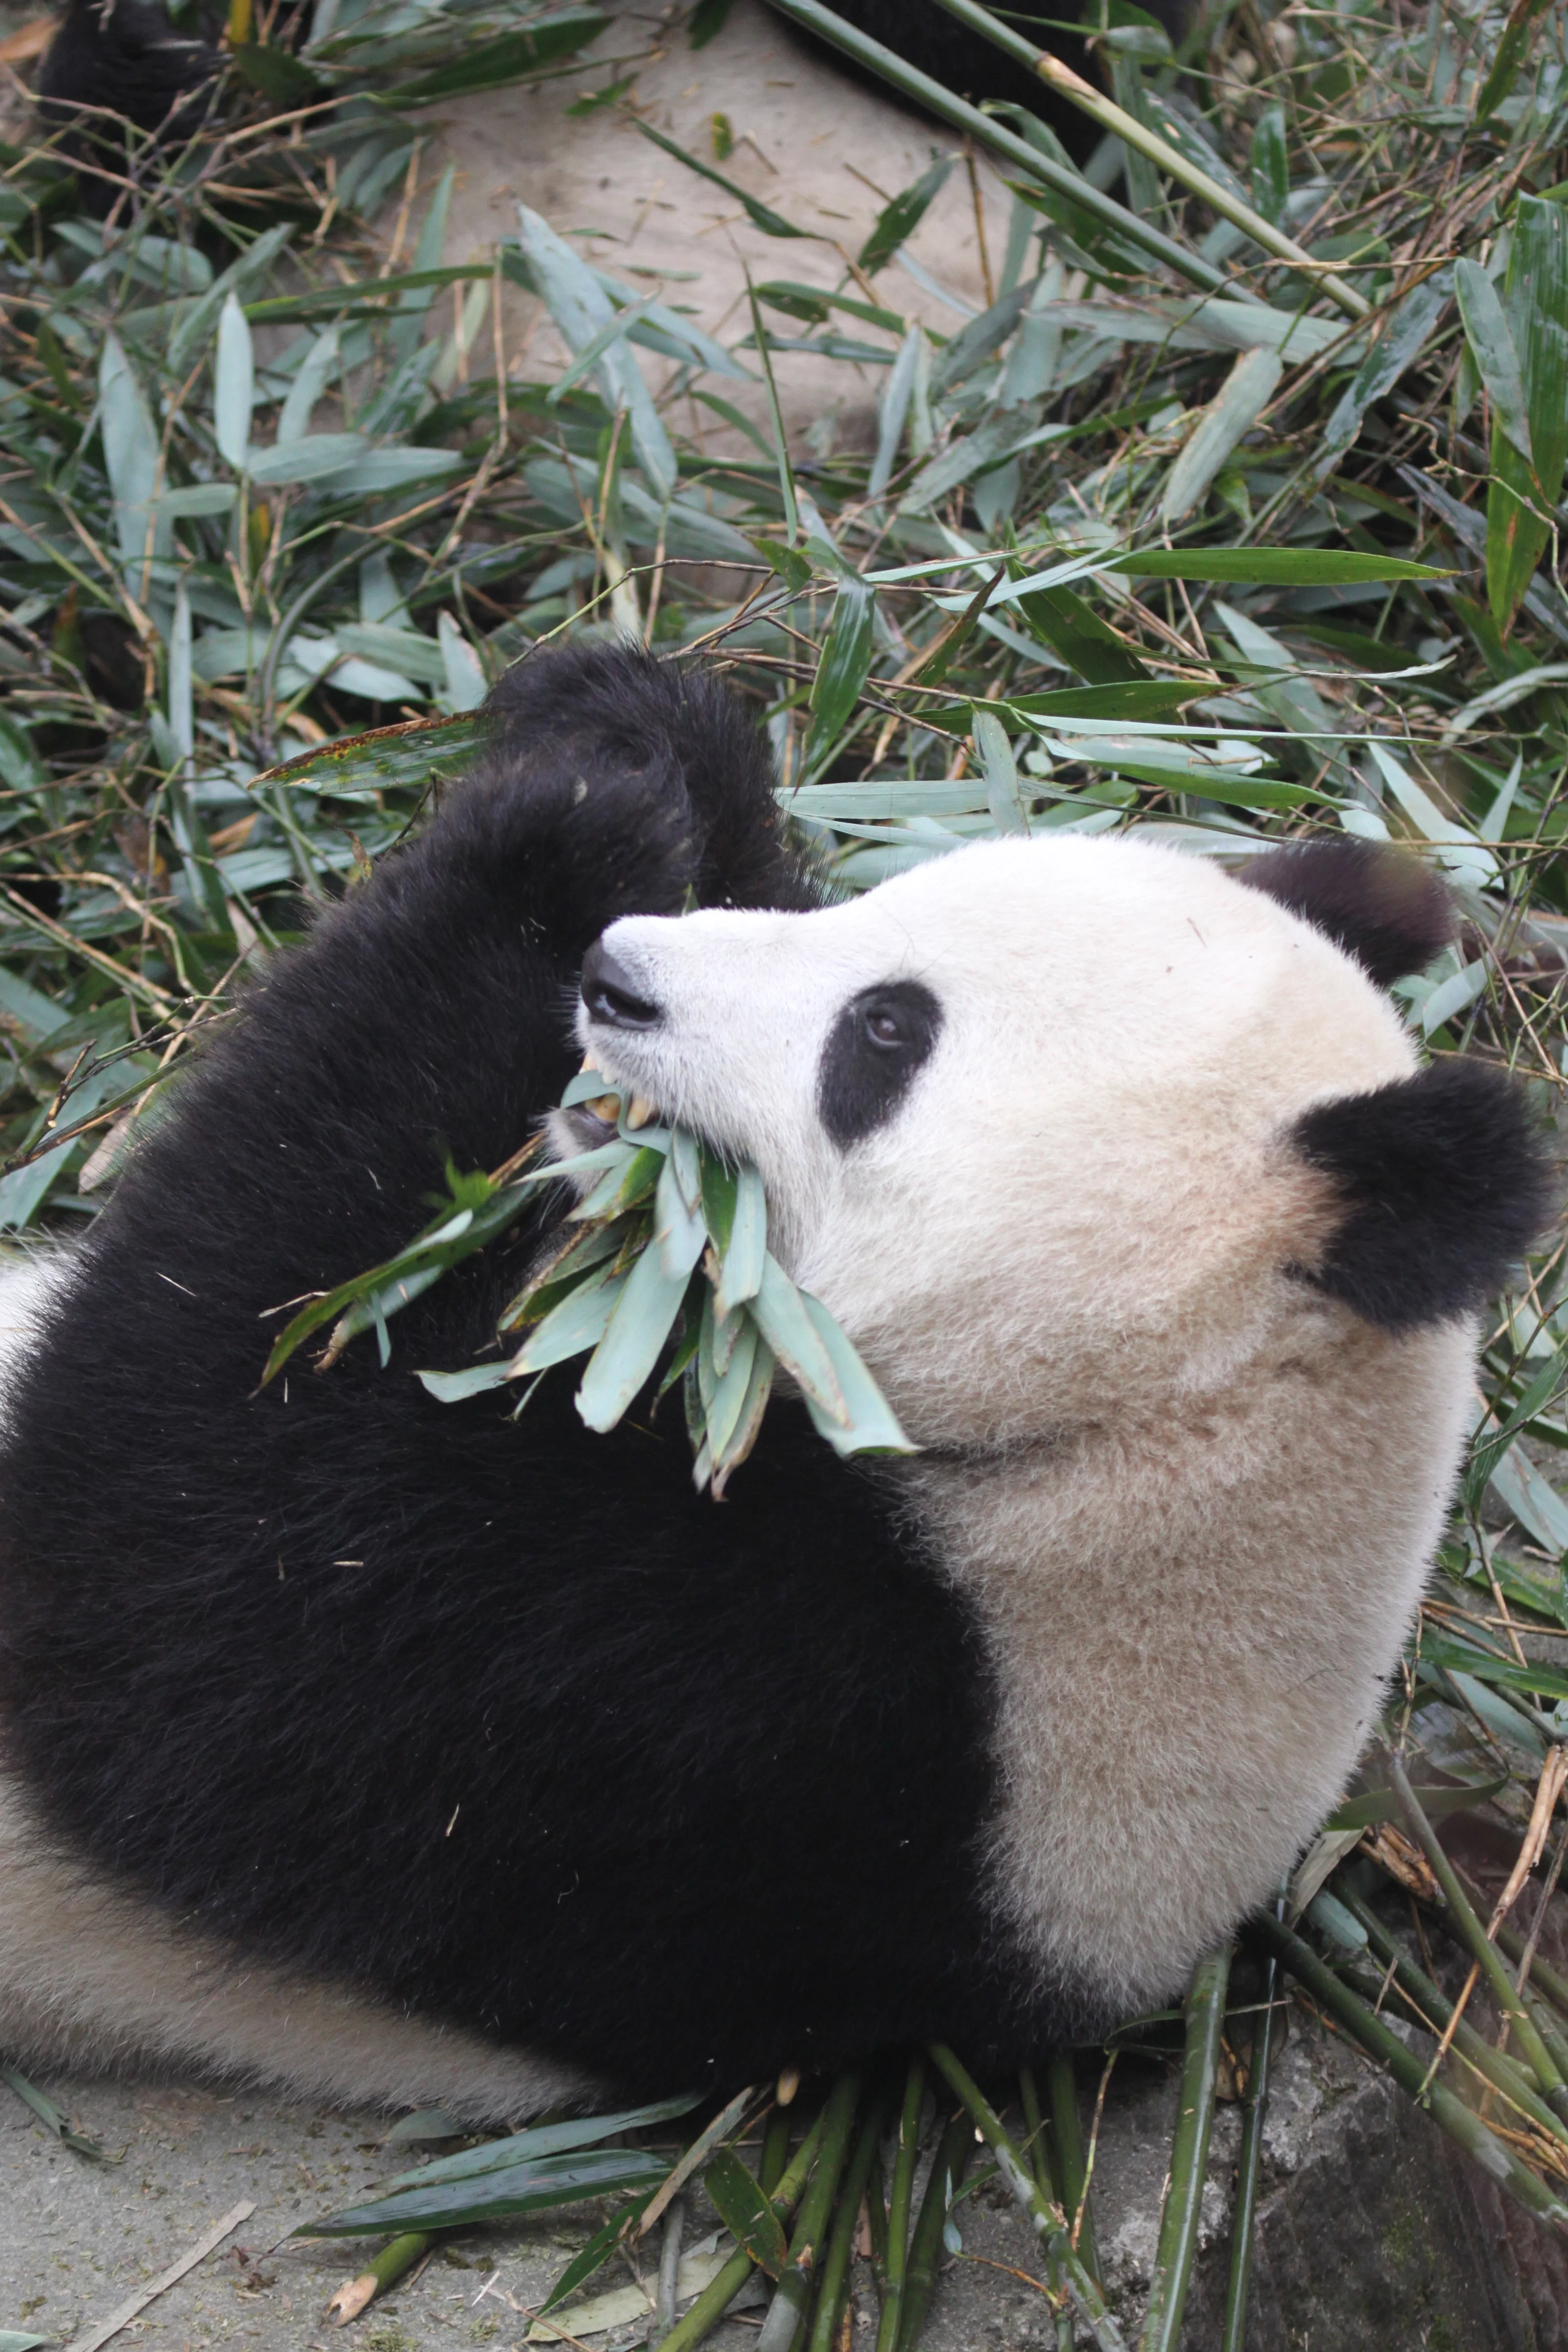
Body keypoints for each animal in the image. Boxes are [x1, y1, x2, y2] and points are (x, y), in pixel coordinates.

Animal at [0, 641, 1552, 2119]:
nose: (616, 976)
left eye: (881, 1033)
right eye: (872, 914)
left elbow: (165, 1571)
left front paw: (558, 839)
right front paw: (642, 738)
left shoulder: (730, 1735)